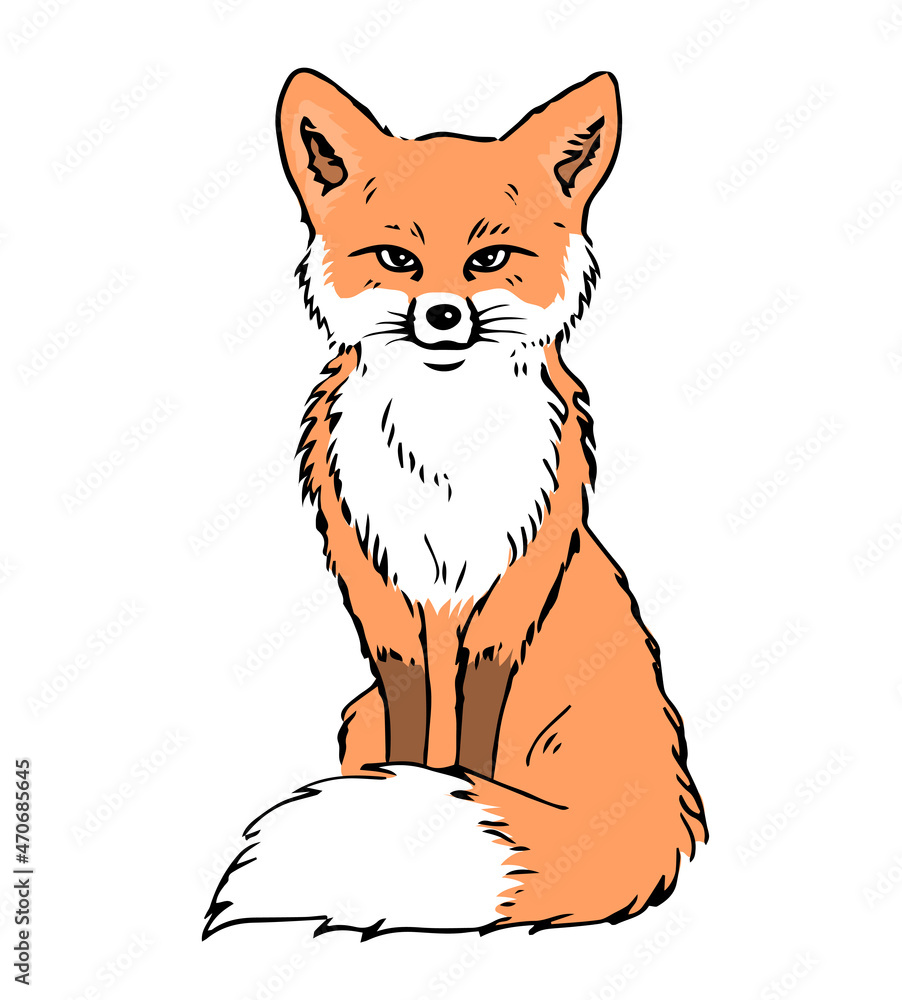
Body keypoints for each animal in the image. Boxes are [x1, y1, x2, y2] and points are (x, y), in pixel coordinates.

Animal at [204, 69, 708, 938]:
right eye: (398, 259)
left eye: (490, 258)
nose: (443, 314)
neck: (444, 452)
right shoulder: (388, 608)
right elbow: (416, 742)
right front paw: (412, 808)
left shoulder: (503, 603)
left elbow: (473, 754)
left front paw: (446, 804)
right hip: (357, 711)